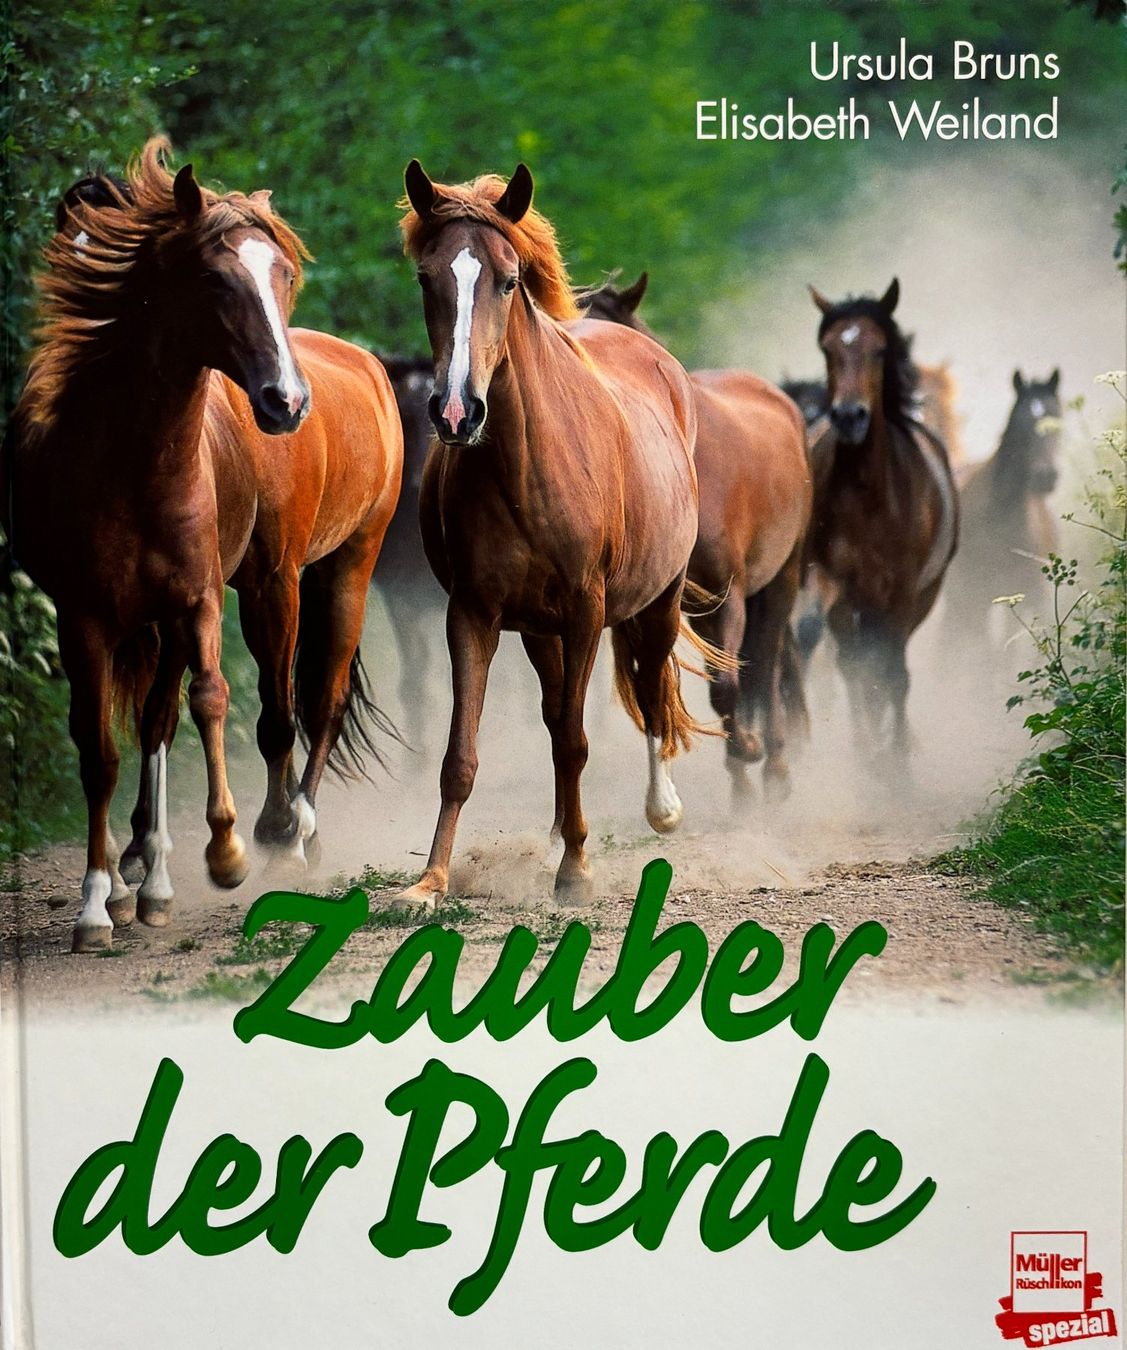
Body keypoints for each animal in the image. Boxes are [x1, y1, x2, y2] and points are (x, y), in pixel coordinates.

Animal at [3, 139, 402, 951]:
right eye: (215, 278)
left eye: (284, 274)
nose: (286, 401)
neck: (136, 465)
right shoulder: (87, 618)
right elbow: (103, 748)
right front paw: (99, 901)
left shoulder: (218, 594)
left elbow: (229, 703)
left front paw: (236, 846)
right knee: (159, 719)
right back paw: (145, 869)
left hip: (341, 569)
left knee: (316, 699)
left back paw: (292, 829)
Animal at [396, 162, 715, 907]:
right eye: (426, 277)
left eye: (509, 279)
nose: (456, 412)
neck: (524, 462)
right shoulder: (473, 614)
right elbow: (462, 754)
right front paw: (430, 880)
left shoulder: (584, 611)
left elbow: (576, 740)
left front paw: (577, 871)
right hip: (538, 630)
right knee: (552, 715)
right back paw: (555, 833)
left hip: (656, 601)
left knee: (650, 690)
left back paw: (659, 810)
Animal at [578, 271, 812, 800]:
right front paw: (739, 767)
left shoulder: (730, 596)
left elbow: (728, 683)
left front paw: (749, 750)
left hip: (782, 577)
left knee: (767, 661)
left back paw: (775, 765)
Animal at [803, 278, 958, 761]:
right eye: (827, 349)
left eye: (879, 349)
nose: (849, 416)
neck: (868, 495)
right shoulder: (830, 579)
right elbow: (849, 660)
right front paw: (872, 753)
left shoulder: (904, 590)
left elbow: (892, 670)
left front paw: (898, 758)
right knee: (854, 661)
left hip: (920, 595)